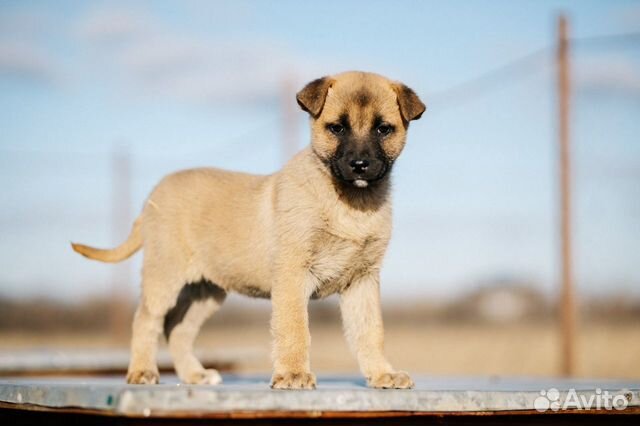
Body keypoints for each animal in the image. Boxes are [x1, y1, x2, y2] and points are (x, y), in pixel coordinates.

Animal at [72, 70, 424, 390]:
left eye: (383, 129)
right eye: (337, 127)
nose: (360, 165)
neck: (349, 201)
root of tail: (152, 198)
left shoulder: (362, 279)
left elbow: (371, 331)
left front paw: (382, 374)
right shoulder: (293, 274)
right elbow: (295, 328)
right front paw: (293, 375)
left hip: (205, 291)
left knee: (177, 329)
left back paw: (195, 375)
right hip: (164, 276)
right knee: (147, 321)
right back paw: (143, 371)